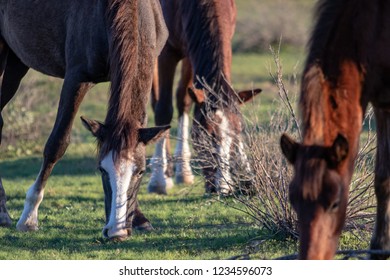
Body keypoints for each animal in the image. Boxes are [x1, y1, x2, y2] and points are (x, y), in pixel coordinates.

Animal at [0, 0, 169, 241]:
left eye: (141, 172)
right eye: (101, 169)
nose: (116, 232)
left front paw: (139, 218)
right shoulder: (77, 78)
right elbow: (57, 144)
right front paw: (29, 217)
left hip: (16, 63)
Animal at [148, 0, 260, 195]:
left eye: (238, 132)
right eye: (206, 135)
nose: (221, 187)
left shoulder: (193, 49)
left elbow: (184, 100)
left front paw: (247, 173)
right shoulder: (167, 51)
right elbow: (164, 109)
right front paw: (159, 180)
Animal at [282, 0, 390, 260]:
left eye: (334, 203)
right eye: (294, 201)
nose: (311, 257)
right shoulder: (382, 103)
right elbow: (382, 179)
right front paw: (379, 249)